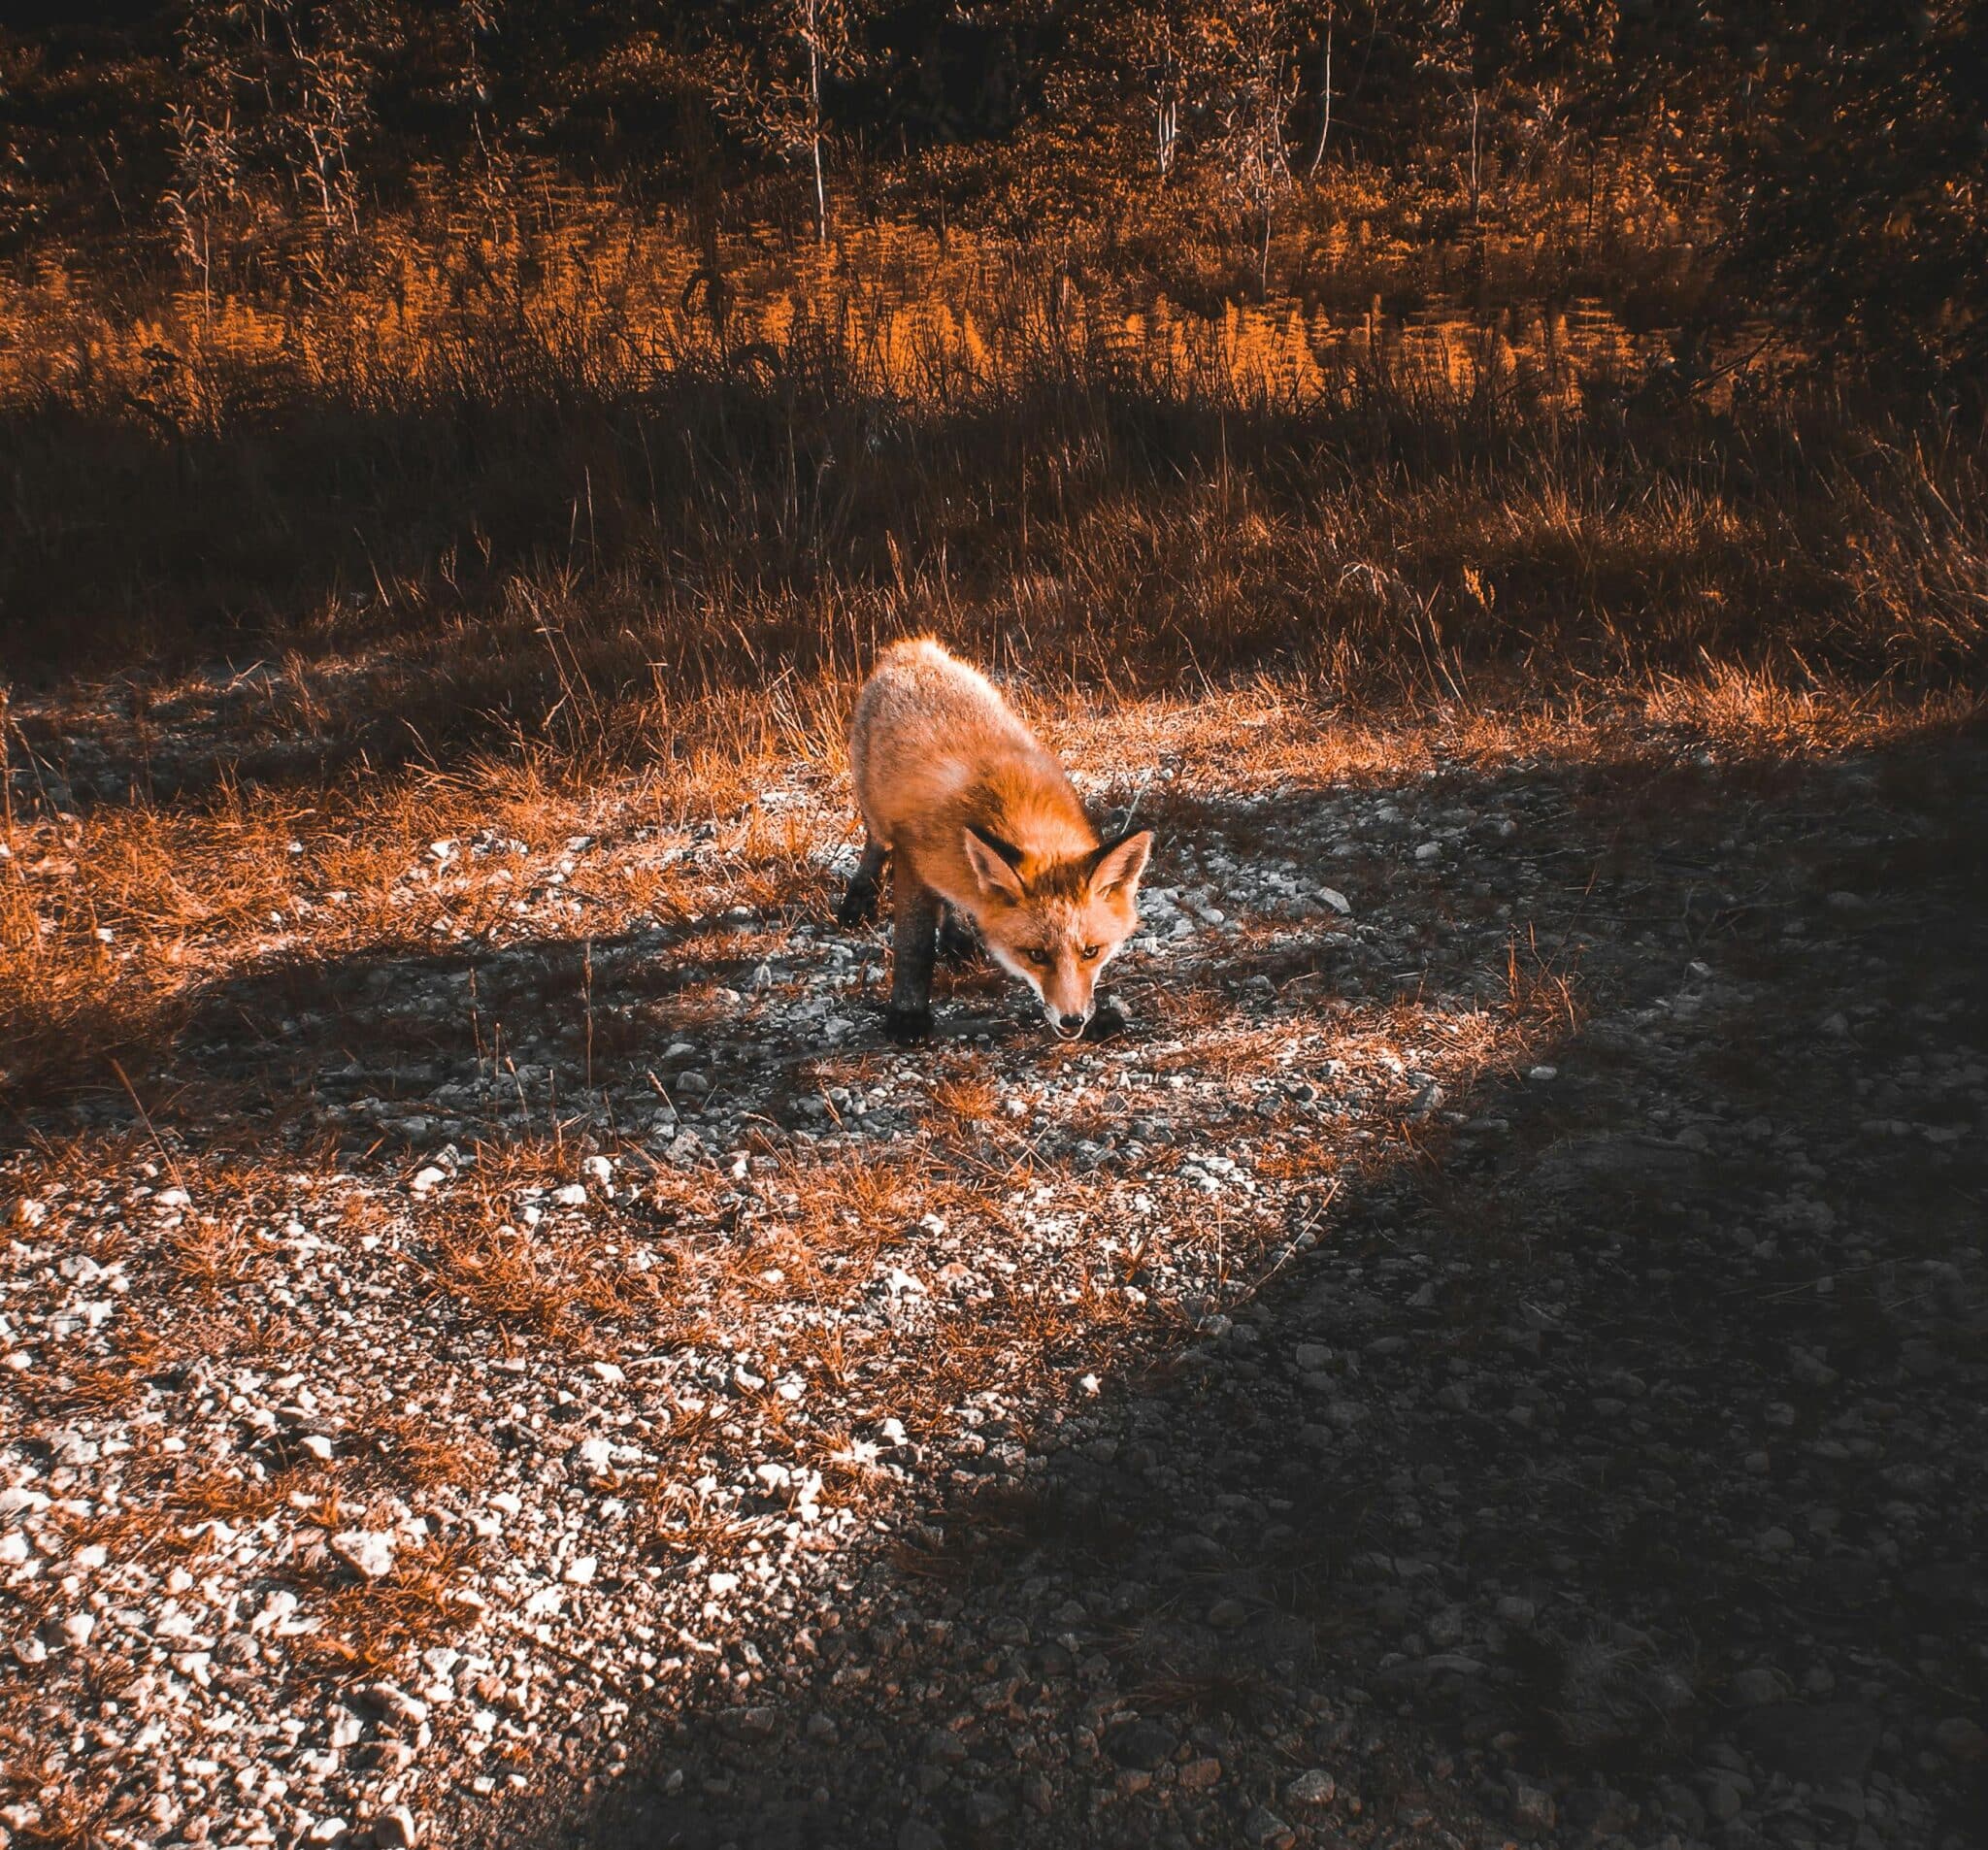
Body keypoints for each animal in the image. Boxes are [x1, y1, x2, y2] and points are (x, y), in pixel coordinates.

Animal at [840, 639, 1154, 1044]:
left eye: (1091, 951)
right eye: (1035, 955)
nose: (1071, 1022)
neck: (1010, 805)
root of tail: (915, 649)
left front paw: (1097, 1016)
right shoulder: (912, 859)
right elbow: (914, 946)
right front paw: (908, 1016)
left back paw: (956, 937)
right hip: (876, 811)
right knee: (875, 845)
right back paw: (860, 897)